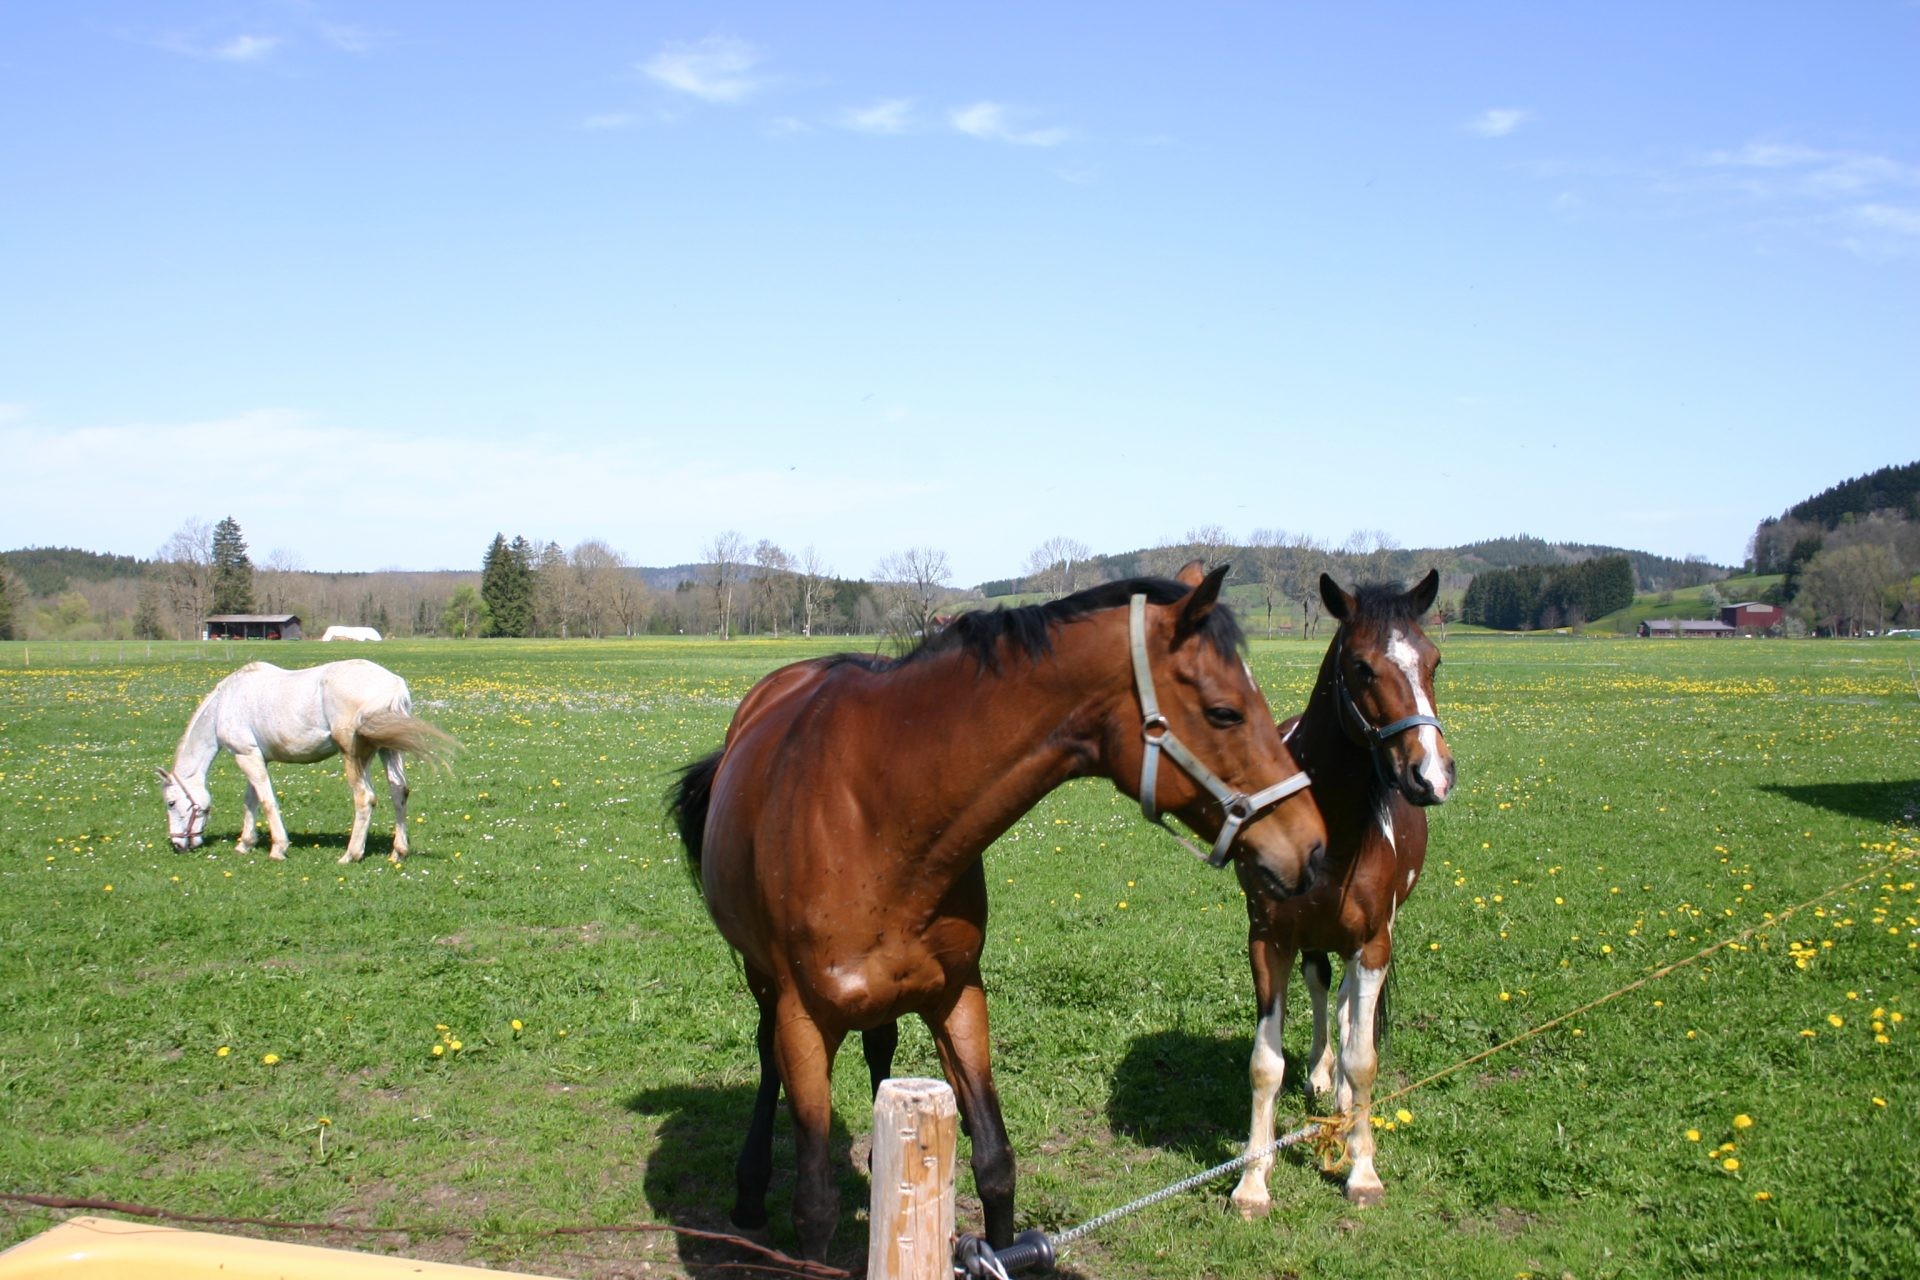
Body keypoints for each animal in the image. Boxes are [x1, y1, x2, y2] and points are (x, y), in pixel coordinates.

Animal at [156, 659, 455, 864]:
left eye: (171, 803)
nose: (178, 845)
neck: (223, 704)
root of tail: (393, 685)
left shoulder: (246, 755)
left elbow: (266, 801)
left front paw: (278, 848)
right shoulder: (256, 757)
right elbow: (251, 800)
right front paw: (245, 844)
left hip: (355, 755)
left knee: (365, 798)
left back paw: (351, 855)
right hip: (389, 750)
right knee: (399, 792)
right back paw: (398, 852)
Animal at [669, 564, 1328, 1259]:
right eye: (1225, 712)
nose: (1314, 849)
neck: (877, 815)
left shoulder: (958, 996)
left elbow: (994, 1163)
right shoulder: (805, 1020)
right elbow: (815, 1205)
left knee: (880, 1045)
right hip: (764, 982)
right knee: (767, 1056)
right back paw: (748, 1190)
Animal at [1228, 569, 1455, 1219]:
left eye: (1433, 660)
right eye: (1361, 667)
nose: (1431, 776)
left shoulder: (1373, 941)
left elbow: (1365, 1055)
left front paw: (1362, 1168)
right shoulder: (1268, 939)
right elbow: (1265, 1063)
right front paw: (1253, 1181)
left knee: (1355, 1008)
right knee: (1322, 988)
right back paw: (1321, 1077)